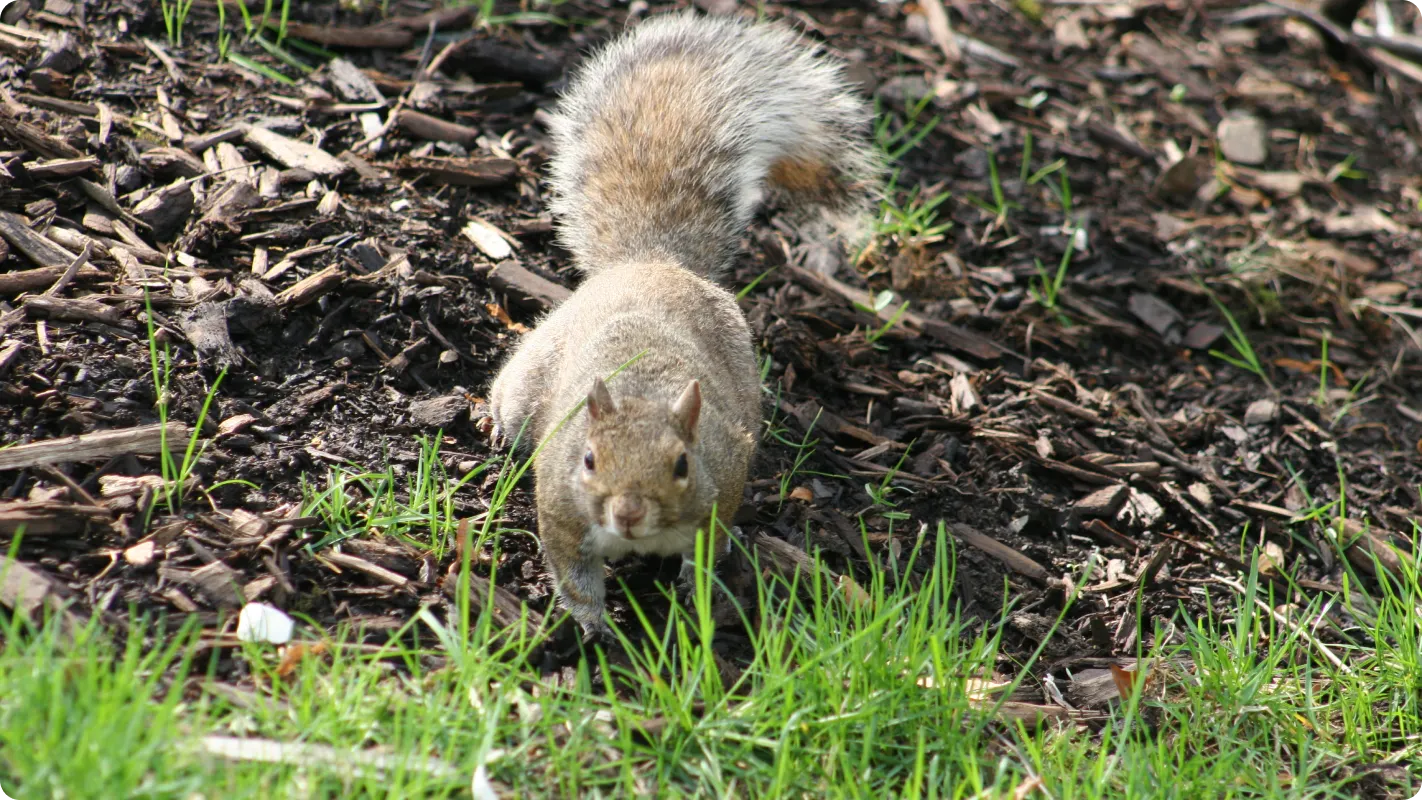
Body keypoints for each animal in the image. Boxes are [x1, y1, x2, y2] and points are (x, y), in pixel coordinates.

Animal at [486, 12, 879, 641]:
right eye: (588, 460)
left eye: (682, 465)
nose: (628, 512)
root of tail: (652, 262)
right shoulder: (563, 513)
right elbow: (574, 574)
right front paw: (592, 626)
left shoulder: (717, 496)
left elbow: (703, 559)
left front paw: (695, 607)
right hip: (533, 380)